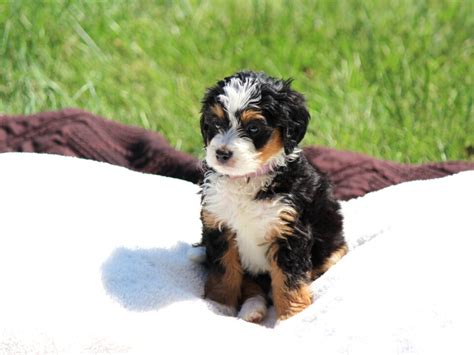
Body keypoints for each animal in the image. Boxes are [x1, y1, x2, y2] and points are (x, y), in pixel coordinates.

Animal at [194, 71, 346, 324]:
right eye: (215, 123)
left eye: (254, 128)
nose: (222, 153)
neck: (248, 179)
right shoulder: (218, 224)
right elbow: (223, 271)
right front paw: (219, 306)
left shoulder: (289, 231)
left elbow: (288, 280)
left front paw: (292, 317)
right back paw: (252, 310)